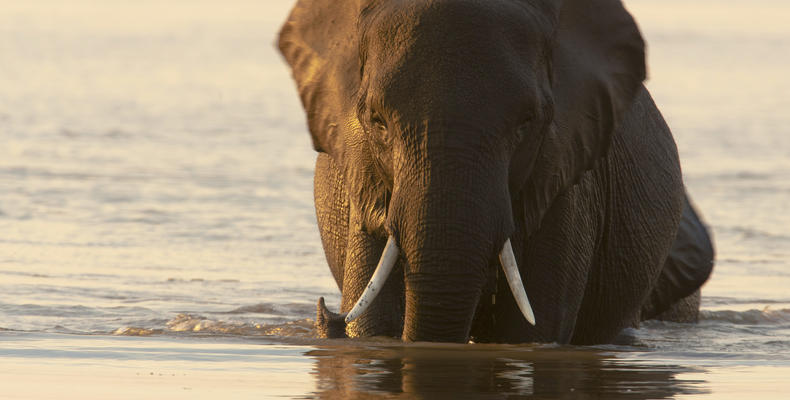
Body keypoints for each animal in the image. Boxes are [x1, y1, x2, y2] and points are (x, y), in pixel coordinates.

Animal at [280, 0, 716, 344]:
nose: (328, 313)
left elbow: (533, 330)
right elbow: (373, 325)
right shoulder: (364, 175)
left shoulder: (566, 181)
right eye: (377, 121)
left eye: (526, 123)